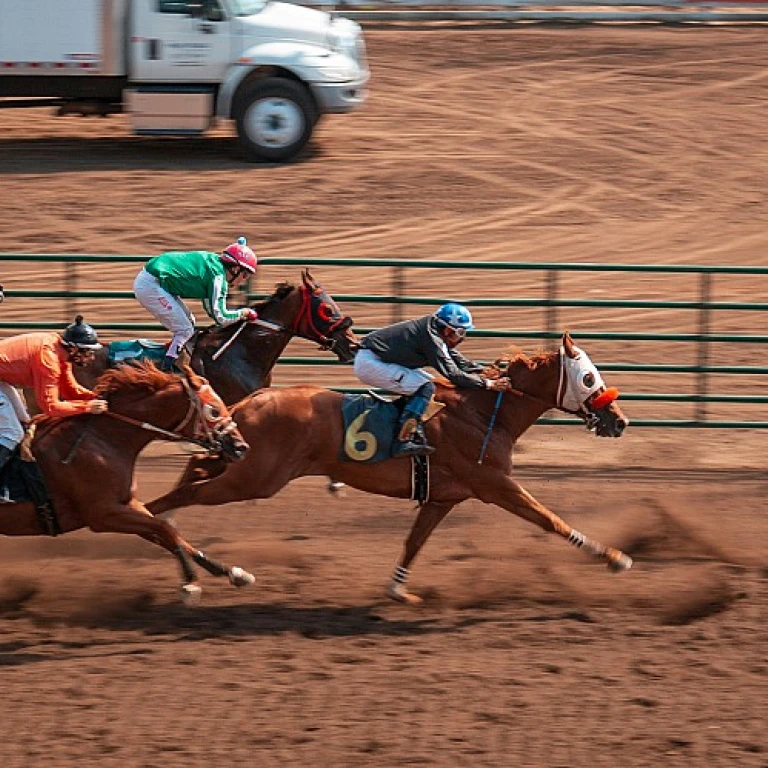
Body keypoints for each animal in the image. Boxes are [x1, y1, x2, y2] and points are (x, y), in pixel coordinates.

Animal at [0, 362, 254, 604]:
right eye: (213, 410)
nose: (241, 447)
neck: (103, 440)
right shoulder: (102, 514)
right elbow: (164, 529)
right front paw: (190, 583)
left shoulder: (126, 503)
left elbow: (166, 531)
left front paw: (231, 572)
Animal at [147, 332, 633, 605]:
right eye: (589, 378)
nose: (619, 420)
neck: (482, 412)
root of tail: (250, 399)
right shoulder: (495, 484)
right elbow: (549, 519)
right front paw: (613, 557)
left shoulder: (442, 497)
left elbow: (414, 543)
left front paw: (398, 590)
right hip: (257, 478)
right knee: (187, 490)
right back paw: (162, 527)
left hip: (247, 465)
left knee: (196, 466)